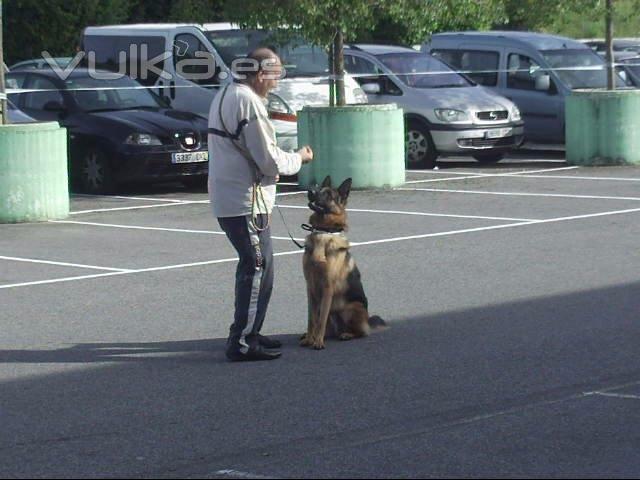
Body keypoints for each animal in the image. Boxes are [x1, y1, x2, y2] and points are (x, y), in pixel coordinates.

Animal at [302, 176, 384, 348]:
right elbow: (312, 319)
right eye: (318, 188)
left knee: (361, 332)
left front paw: (317, 342)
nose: (310, 191)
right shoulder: (309, 287)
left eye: (328, 194)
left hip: (350, 309)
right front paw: (310, 339)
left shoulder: (328, 286)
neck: (324, 232)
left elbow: (321, 318)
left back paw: (346, 334)